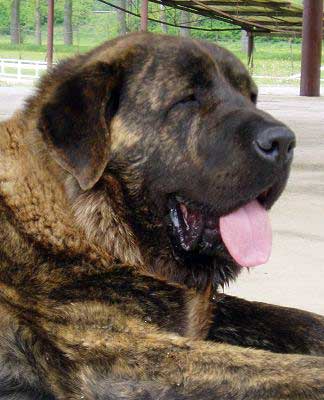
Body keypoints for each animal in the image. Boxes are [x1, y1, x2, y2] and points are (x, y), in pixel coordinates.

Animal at [0, 32, 322, 398]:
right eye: (188, 99)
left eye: (252, 97)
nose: (284, 142)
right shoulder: (115, 353)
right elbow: (290, 369)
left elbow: (297, 320)